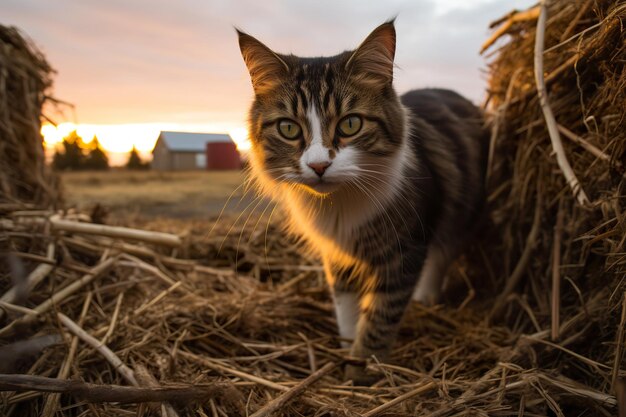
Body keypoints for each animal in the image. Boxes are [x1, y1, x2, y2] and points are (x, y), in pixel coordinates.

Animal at [236, 21, 486, 382]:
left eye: (351, 124)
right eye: (288, 129)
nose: (318, 166)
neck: (338, 204)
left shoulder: (405, 254)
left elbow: (379, 321)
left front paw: (361, 372)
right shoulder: (337, 255)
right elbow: (348, 313)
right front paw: (347, 353)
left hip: (459, 217)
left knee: (442, 255)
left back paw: (425, 299)